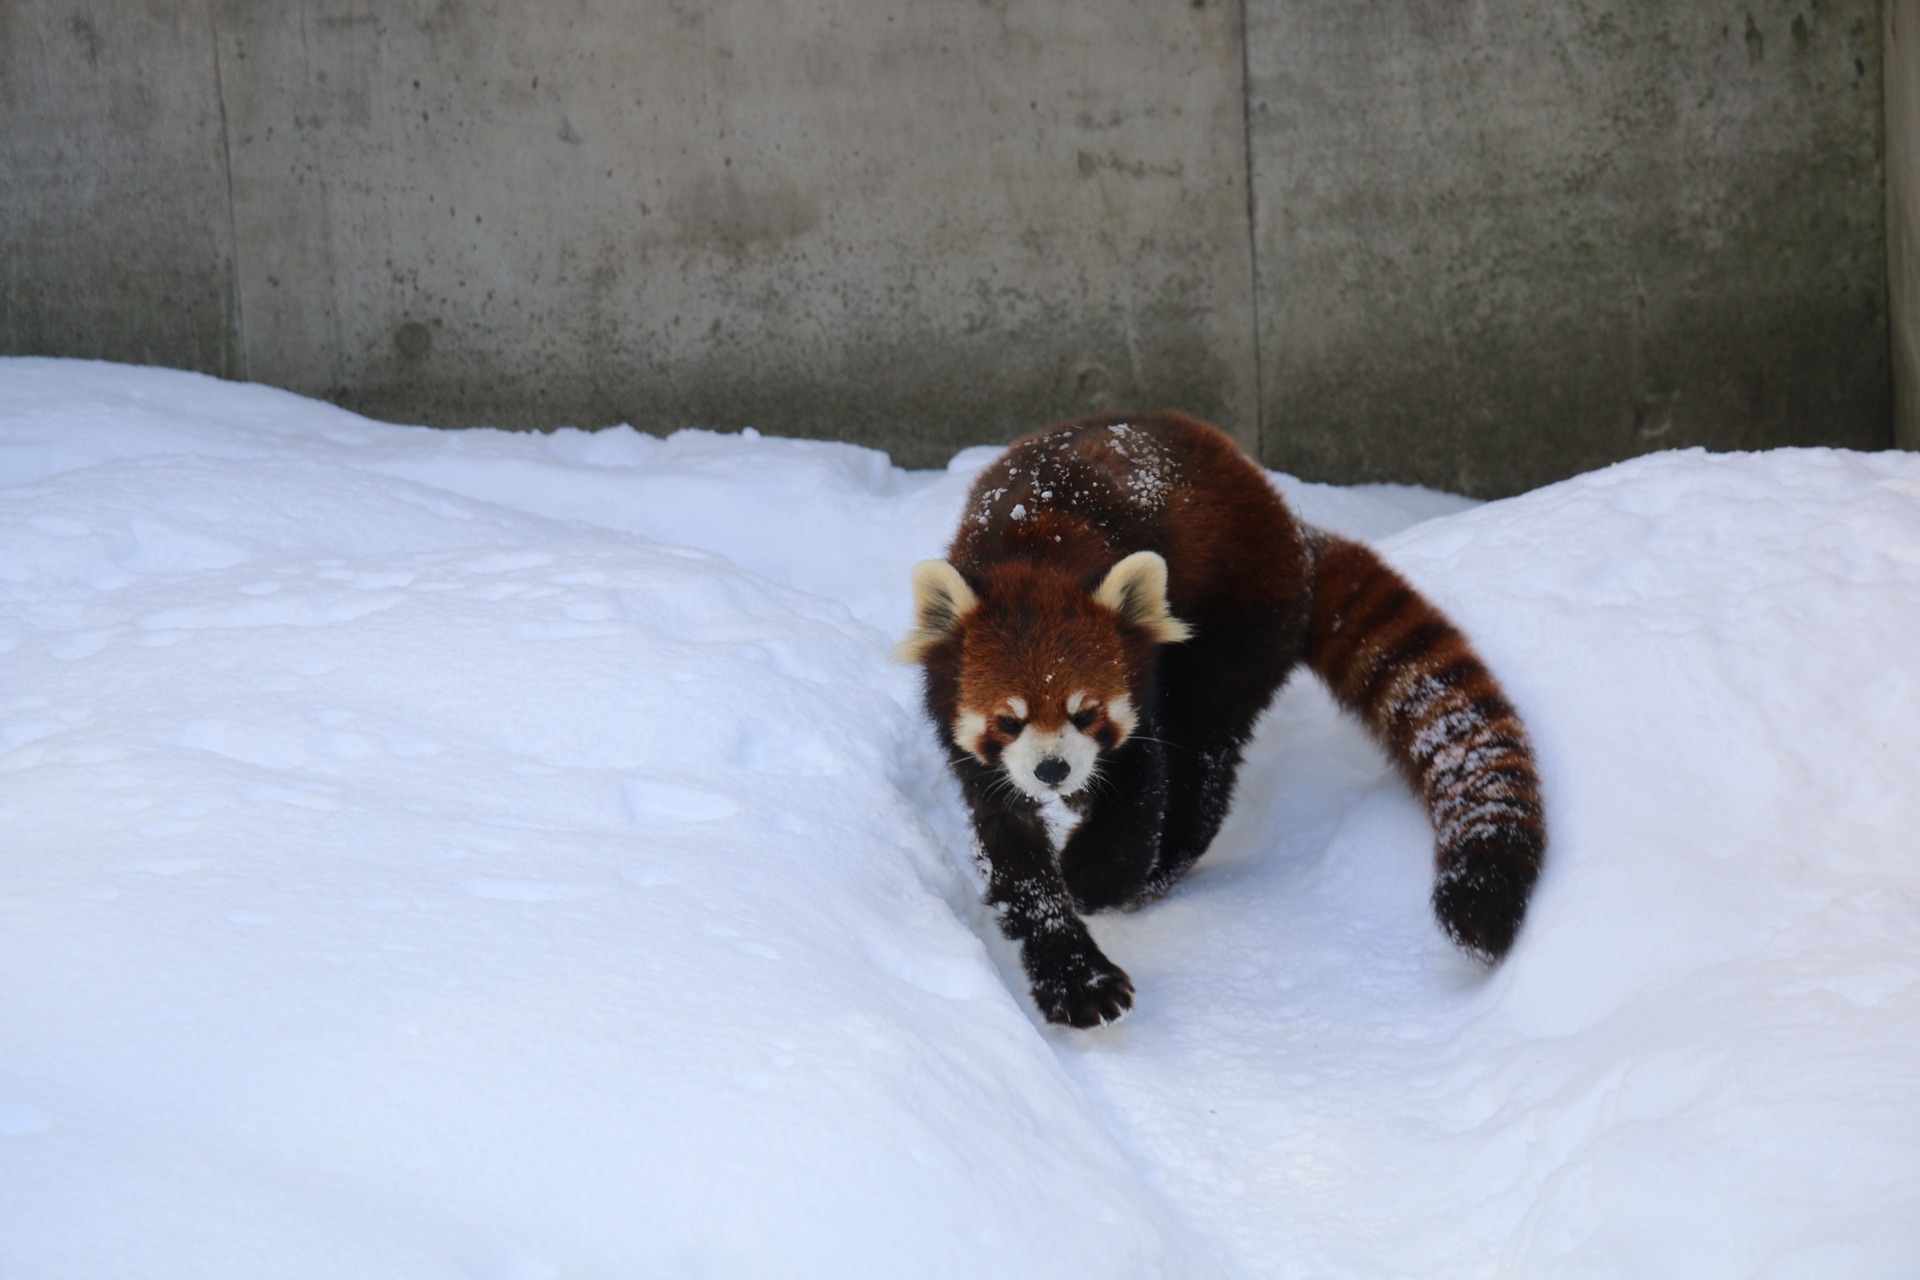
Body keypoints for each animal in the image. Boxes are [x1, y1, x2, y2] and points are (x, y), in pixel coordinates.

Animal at [894, 416, 1543, 1028]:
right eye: (1009, 720)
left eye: (1086, 713)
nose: (1053, 770)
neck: (1036, 546)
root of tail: (1285, 518)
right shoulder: (973, 746)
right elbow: (1013, 852)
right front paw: (1079, 981)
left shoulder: (1141, 688)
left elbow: (1140, 790)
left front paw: (1093, 875)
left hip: (1236, 624)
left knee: (1203, 756)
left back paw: (1160, 863)